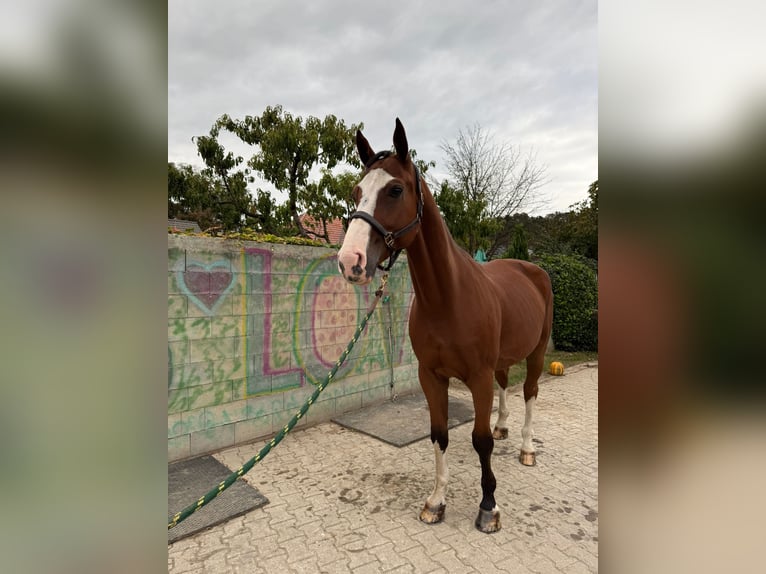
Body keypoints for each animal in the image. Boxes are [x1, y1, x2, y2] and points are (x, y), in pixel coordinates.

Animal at [337, 118, 553, 533]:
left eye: (395, 189)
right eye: (356, 192)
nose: (350, 261)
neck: (448, 299)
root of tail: (531, 269)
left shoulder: (478, 377)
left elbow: (480, 440)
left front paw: (488, 507)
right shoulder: (431, 376)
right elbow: (439, 435)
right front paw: (436, 501)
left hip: (535, 353)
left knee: (530, 393)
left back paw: (527, 447)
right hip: (503, 360)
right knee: (507, 385)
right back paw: (504, 426)